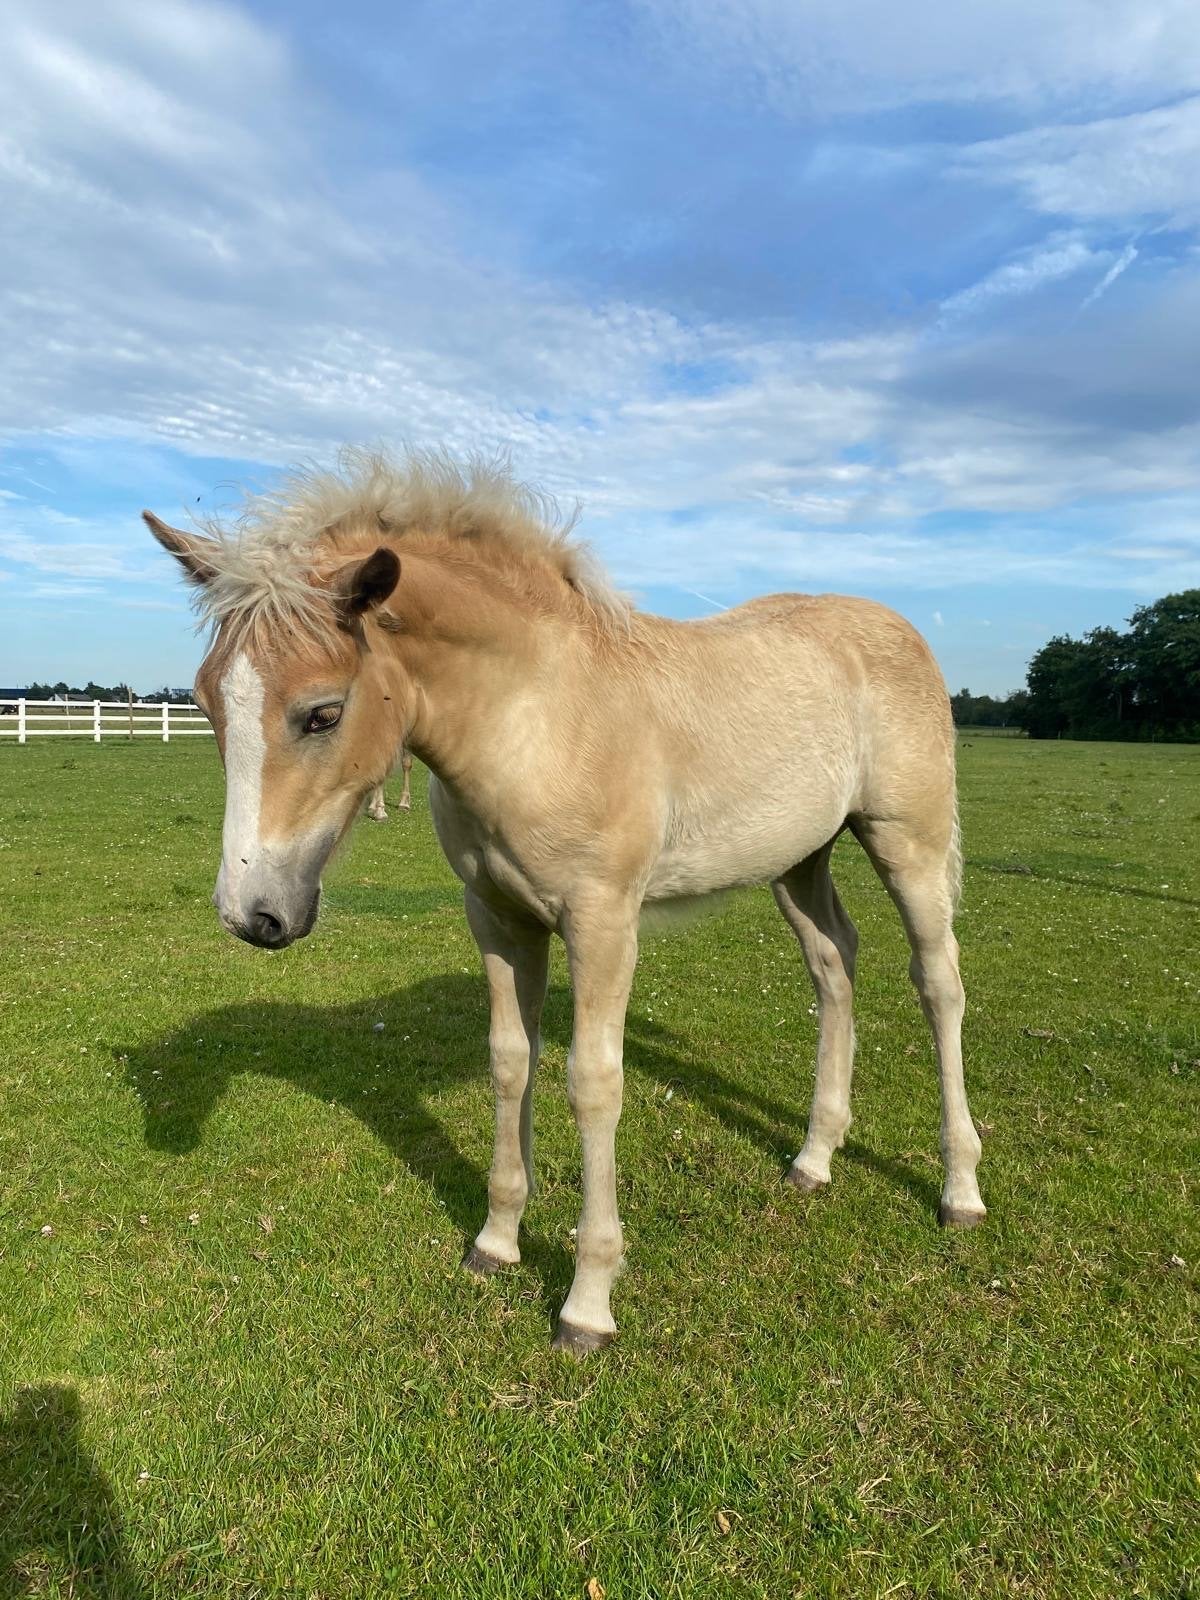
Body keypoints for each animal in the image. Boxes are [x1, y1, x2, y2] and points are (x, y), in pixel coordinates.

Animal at [145, 449, 986, 1353]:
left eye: (322, 713)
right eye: (206, 702)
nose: (252, 914)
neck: (536, 715)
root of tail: (899, 630)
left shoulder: (603, 922)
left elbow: (592, 1082)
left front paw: (588, 1300)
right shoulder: (499, 919)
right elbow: (511, 1062)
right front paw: (496, 1240)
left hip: (908, 844)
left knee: (939, 982)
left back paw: (959, 1189)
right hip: (799, 860)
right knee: (835, 966)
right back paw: (814, 1158)